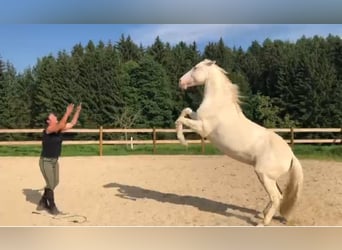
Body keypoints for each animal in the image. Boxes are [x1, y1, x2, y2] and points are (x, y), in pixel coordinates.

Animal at [175, 59, 304, 227]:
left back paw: (263, 222)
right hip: (268, 178)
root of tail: (291, 156)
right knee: (279, 195)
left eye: (196, 67)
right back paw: (260, 214)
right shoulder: (197, 118)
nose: (180, 81)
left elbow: (181, 119)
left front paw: (183, 141)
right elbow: (186, 110)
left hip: (264, 175)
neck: (219, 104)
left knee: (276, 197)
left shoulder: (203, 128)